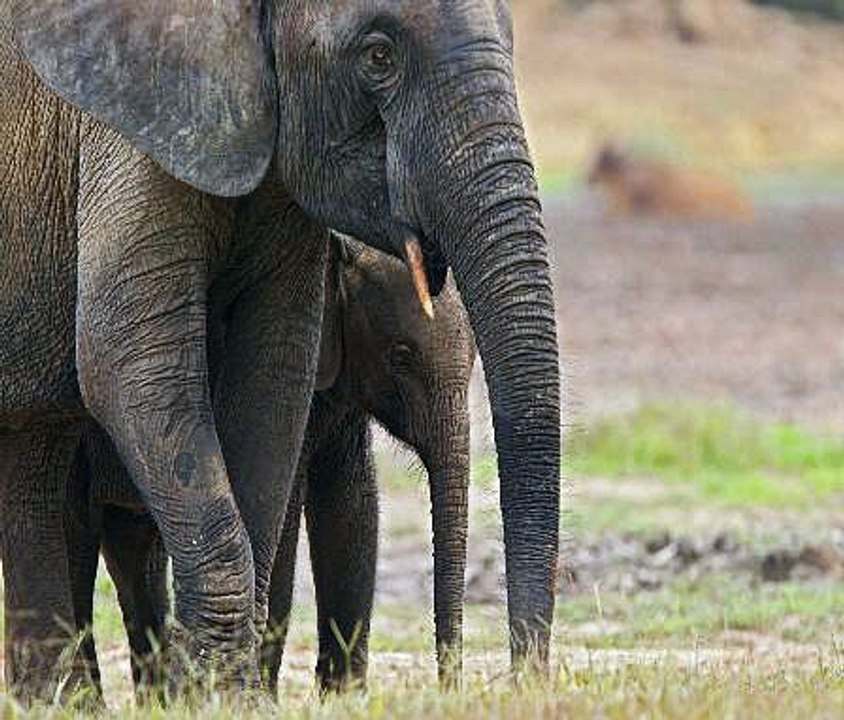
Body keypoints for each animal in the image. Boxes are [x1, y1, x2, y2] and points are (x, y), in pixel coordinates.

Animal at [0, 0, 561, 700]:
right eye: (378, 56)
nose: (520, 679)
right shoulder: (123, 124)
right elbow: (127, 360)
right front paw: (221, 693)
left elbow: (275, 379)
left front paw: (229, 695)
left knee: (42, 464)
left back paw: (65, 700)